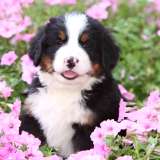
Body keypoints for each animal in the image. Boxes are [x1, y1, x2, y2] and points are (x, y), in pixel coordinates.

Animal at [19, 12, 120, 158]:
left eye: (86, 44)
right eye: (59, 41)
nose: (71, 60)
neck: (65, 90)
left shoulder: (88, 128)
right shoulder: (33, 117)